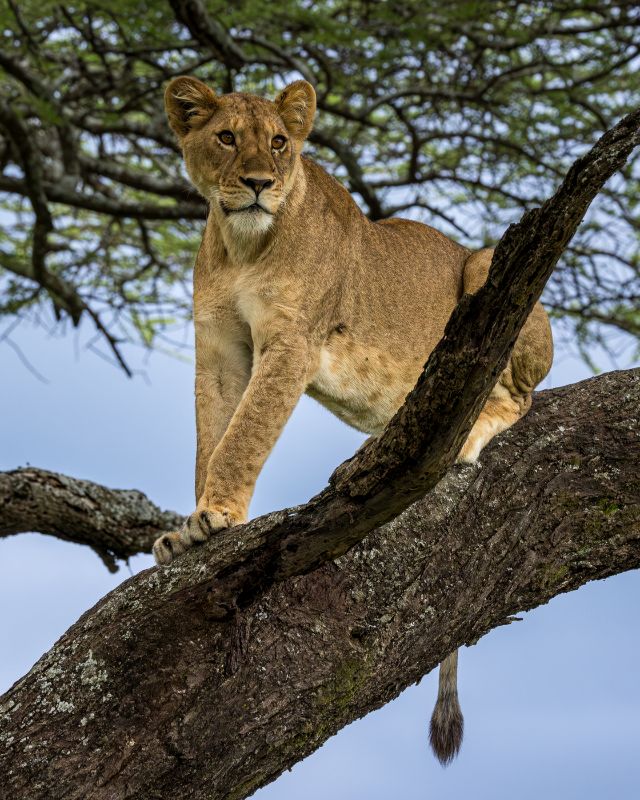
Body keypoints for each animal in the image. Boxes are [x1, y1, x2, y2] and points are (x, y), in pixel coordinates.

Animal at [152, 76, 553, 764]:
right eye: (226, 137)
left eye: (278, 143)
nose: (258, 182)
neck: (242, 244)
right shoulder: (219, 349)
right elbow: (213, 436)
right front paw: (190, 532)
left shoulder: (293, 344)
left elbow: (244, 435)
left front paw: (218, 517)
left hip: (487, 267)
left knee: (517, 399)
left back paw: (468, 431)